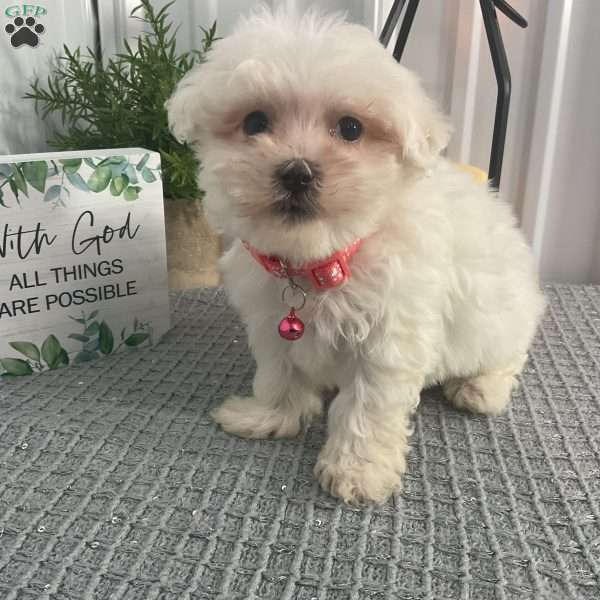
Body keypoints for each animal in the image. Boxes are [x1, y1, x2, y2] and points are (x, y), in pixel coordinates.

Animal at [166, 7, 548, 504]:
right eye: (254, 122)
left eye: (350, 128)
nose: (297, 172)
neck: (324, 258)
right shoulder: (270, 321)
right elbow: (278, 372)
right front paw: (269, 416)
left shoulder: (391, 337)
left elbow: (368, 406)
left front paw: (358, 469)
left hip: (498, 319)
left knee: (507, 354)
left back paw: (480, 387)